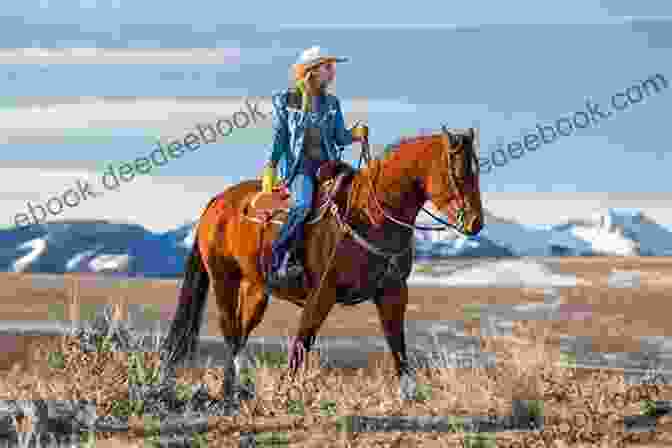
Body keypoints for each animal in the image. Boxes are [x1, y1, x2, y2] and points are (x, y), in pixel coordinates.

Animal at [159, 127, 484, 406]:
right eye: (458, 172)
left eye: (476, 170)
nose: (475, 223)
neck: (372, 213)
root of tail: (217, 202)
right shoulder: (322, 293)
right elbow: (301, 344)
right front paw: (286, 393)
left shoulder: (392, 292)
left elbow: (397, 344)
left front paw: (410, 394)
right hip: (223, 277)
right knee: (229, 329)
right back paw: (231, 388)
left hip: (256, 289)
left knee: (241, 331)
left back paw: (236, 388)